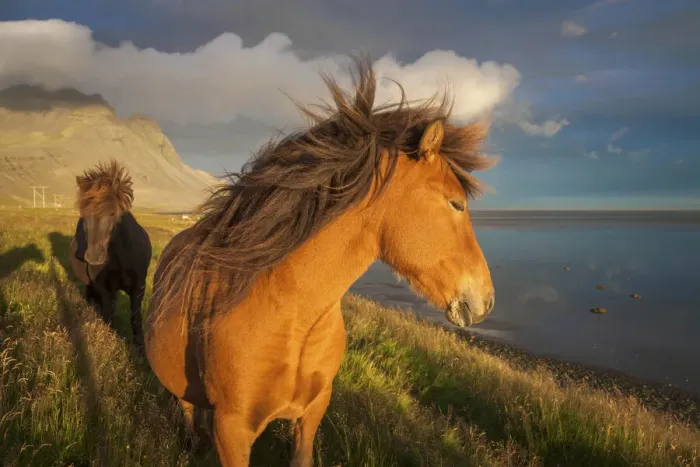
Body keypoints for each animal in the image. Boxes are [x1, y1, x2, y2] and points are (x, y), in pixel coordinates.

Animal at [69, 159, 152, 350]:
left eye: (113, 213)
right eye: (83, 213)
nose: (93, 257)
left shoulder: (139, 288)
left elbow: (135, 318)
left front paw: (139, 348)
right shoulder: (105, 288)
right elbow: (108, 315)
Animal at [144, 57, 498, 466]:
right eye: (456, 204)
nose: (487, 299)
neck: (293, 317)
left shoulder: (311, 414)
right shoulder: (232, 431)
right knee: (186, 408)